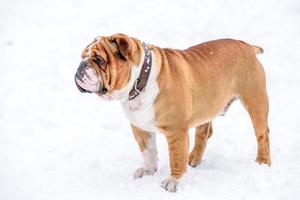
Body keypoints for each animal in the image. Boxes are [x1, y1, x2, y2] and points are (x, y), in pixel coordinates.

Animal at [74, 33, 270, 191]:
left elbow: (175, 157)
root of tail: (247, 46)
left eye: (100, 60)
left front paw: (173, 181)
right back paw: (194, 159)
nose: (81, 67)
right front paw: (149, 170)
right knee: (203, 133)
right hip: (208, 106)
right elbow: (149, 152)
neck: (140, 81)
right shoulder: (141, 130)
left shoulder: (176, 132)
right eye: (82, 57)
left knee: (262, 134)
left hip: (255, 100)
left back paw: (263, 162)